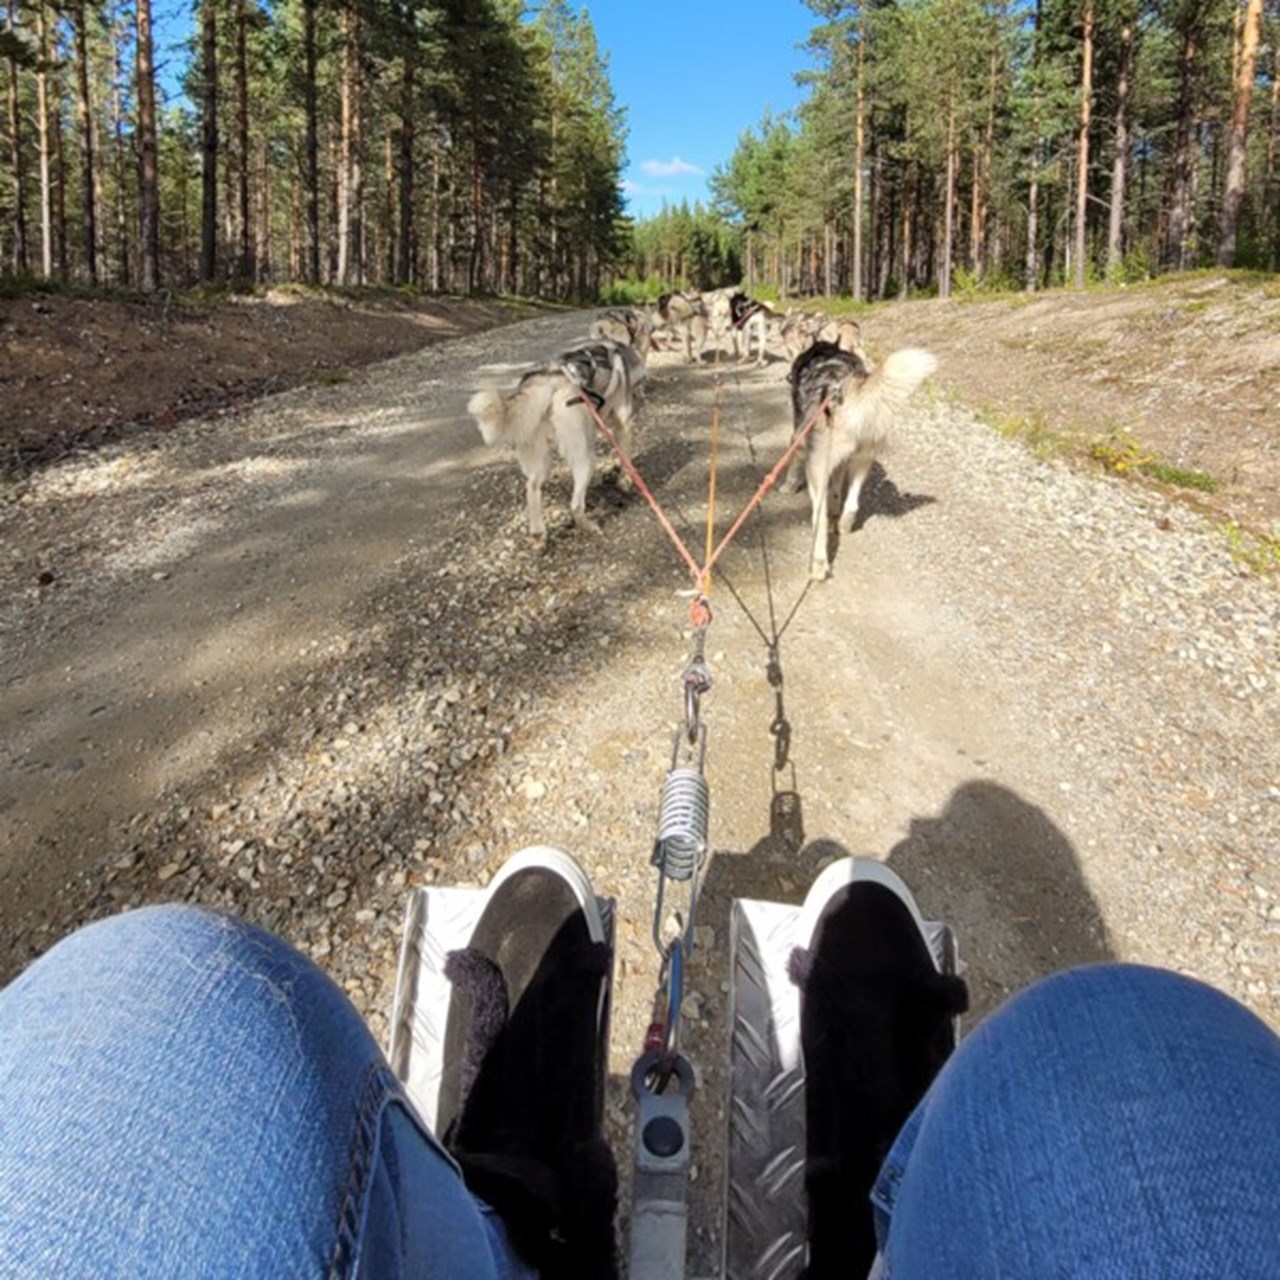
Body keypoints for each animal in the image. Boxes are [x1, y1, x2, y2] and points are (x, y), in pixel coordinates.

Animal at [465, 337, 640, 537]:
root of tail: (547, 378)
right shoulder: (623, 425)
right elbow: (626, 459)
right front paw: (625, 480)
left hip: (540, 456)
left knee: (532, 486)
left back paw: (538, 534)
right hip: (584, 457)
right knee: (575, 505)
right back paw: (587, 525)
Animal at [783, 340, 936, 581]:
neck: (825, 355)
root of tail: (848, 391)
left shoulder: (799, 437)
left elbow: (793, 464)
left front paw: (787, 487)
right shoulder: (841, 461)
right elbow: (837, 489)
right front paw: (835, 506)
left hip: (816, 469)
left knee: (820, 519)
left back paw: (818, 565)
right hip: (863, 461)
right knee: (852, 503)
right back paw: (844, 524)